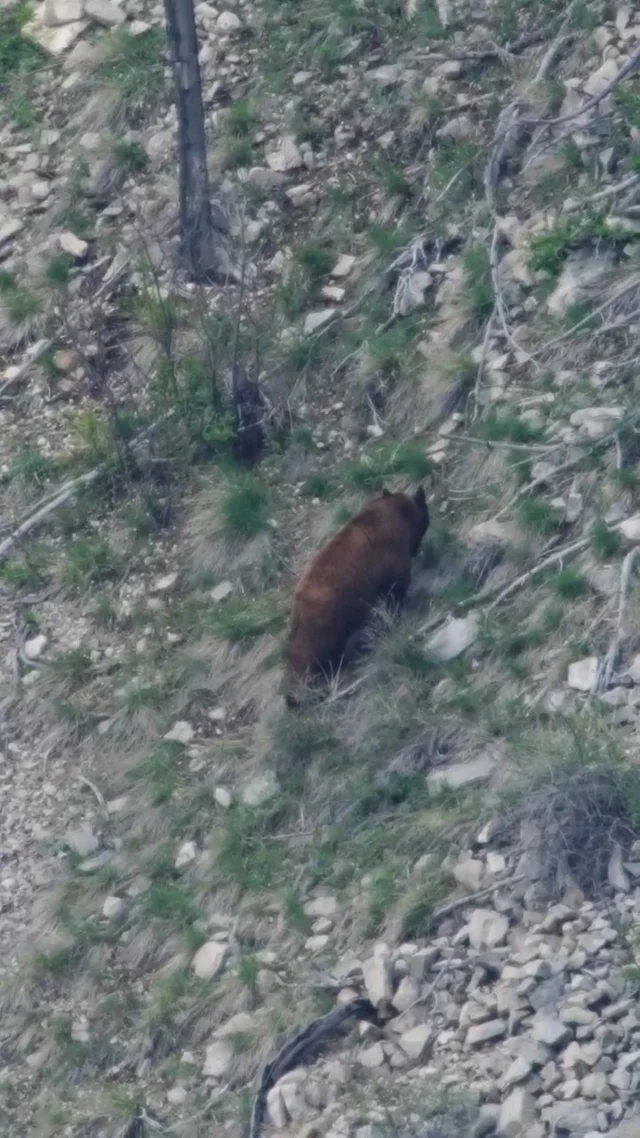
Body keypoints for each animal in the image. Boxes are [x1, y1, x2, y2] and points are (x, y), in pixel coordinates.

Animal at [284, 485, 429, 706]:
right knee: (319, 652)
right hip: (329, 620)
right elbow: (396, 587)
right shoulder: (392, 554)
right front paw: (398, 611)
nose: (416, 550)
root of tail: (297, 608)